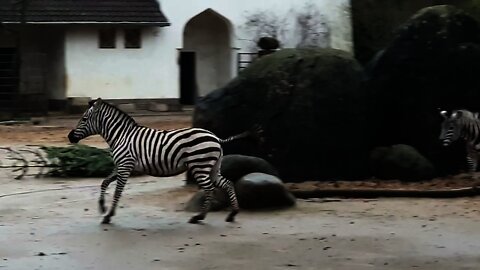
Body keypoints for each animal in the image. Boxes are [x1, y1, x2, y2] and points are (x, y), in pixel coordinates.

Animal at [69, 98, 253, 225]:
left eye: (84, 119)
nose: (70, 137)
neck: (121, 136)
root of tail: (215, 137)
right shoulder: (121, 166)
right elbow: (104, 182)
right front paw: (102, 207)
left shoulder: (125, 166)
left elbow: (117, 192)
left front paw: (108, 215)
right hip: (213, 167)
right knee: (227, 183)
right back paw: (232, 214)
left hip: (200, 166)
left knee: (210, 189)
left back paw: (199, 217)